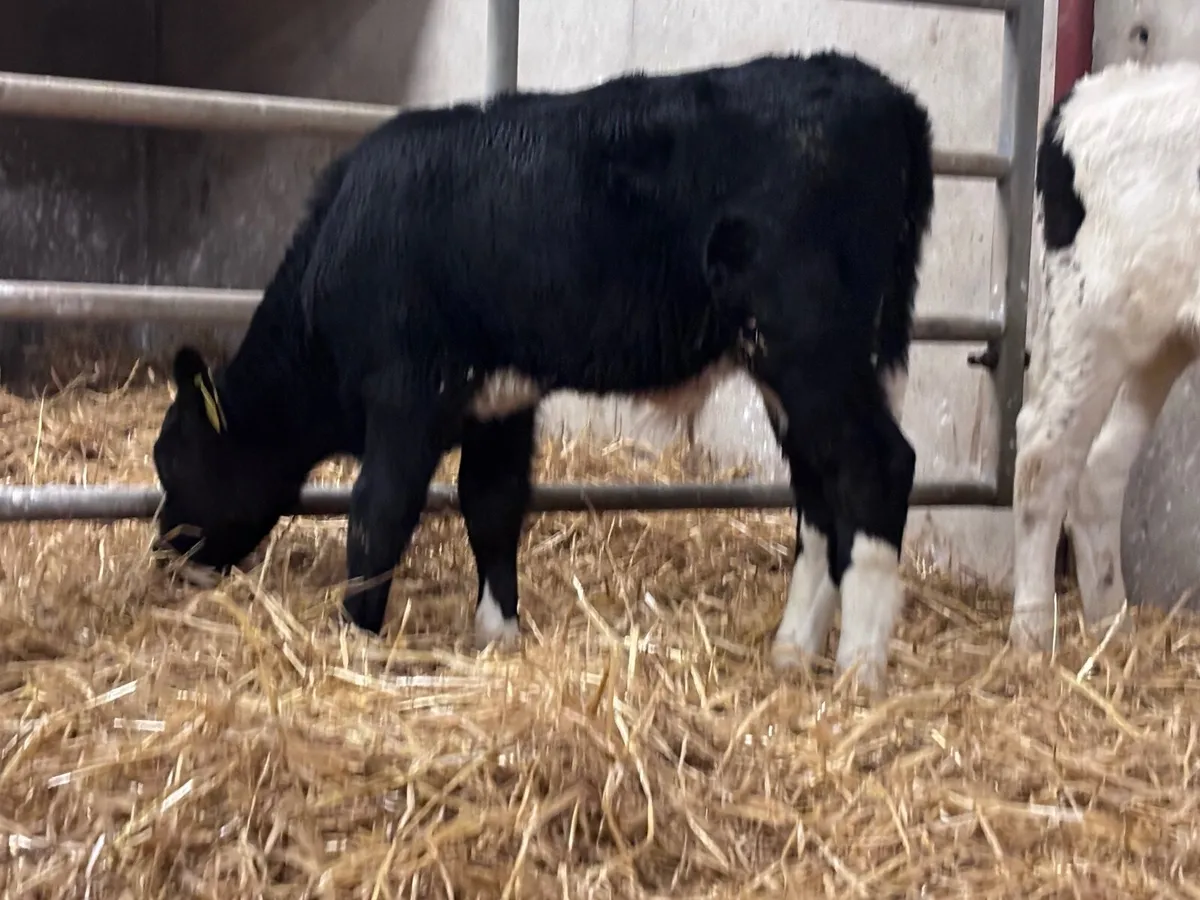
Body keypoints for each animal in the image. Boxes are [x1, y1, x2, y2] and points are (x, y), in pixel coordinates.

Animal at [151, 50, 935, 692]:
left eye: (172, 460)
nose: (163, 555)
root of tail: (888, 95)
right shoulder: (502, 404)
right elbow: (492, 504)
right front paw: (497, 633)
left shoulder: (407, 392)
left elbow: (378, 512)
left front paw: (356, 637)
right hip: (795, 369)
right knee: (820, 493)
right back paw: (793, 651)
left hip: (809, 346)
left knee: (876, 466)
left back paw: (858, 670)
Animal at [1012, 60, 1200, 650]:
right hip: (1093, 320)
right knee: (1044, 458)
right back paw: (1032, 633)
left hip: (1162, 339)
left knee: (1100, 465)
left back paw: (1112, 627)